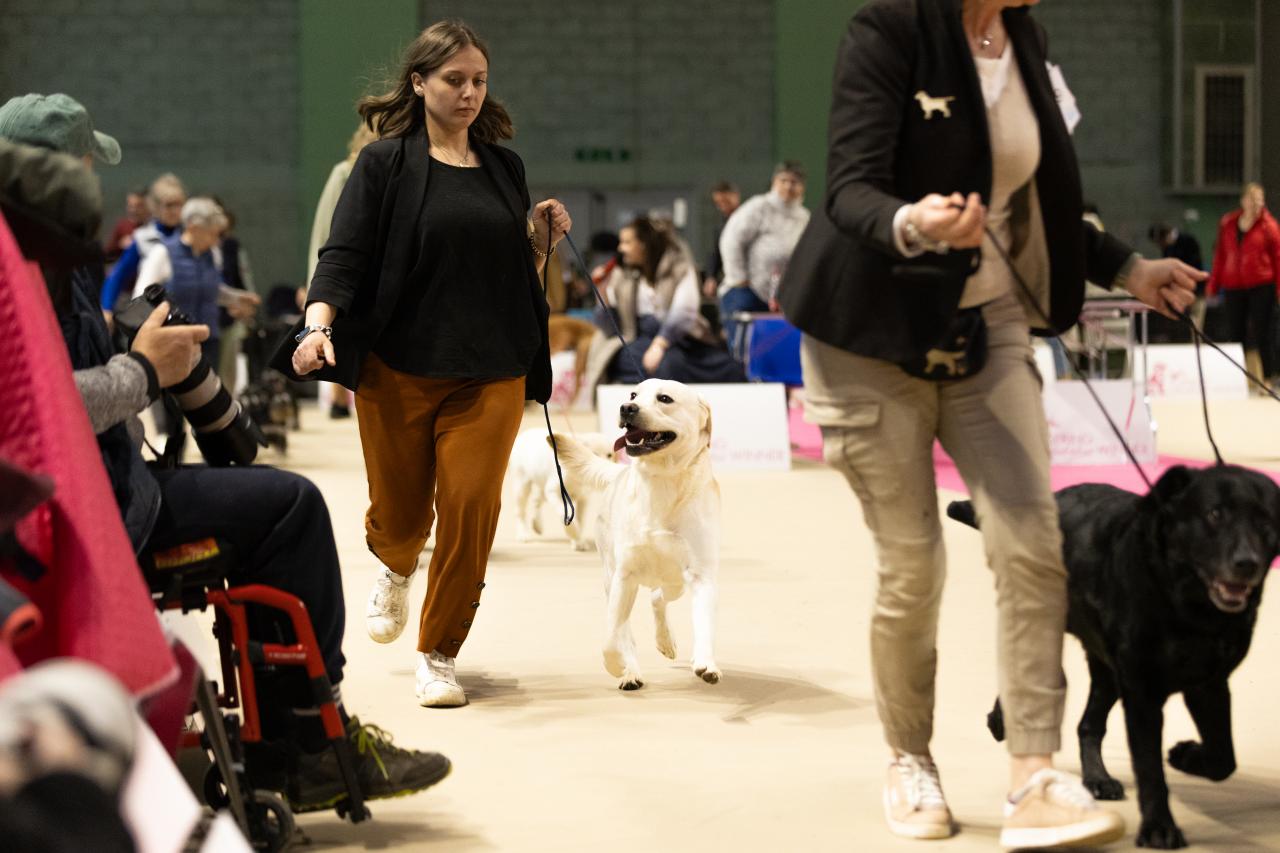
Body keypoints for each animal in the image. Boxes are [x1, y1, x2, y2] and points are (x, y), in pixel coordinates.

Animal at [551, 378, 721, 690]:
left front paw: (706, 664)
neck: (661, 481)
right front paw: (620, 666)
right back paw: (630, 671)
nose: (627, 407)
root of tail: (616, 473)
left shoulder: (701, 575)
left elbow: (704, 625)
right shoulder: (624, 576)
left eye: (665, 399)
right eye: (633, 394)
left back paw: (666, 642)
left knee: (657, 598)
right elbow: (611, 638)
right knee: (625, 626)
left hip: (675, 581)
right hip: (611, 574)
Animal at [948, 464, 1280, 849]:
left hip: (1107, 670)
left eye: (1266, 521)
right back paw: (1001, 721)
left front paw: (1186, 755)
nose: (1247, 563)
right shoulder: (1143, 691)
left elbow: (1223, 758)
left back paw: (1098, 778)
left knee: (1088, 725)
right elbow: (1150, 769)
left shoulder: (1208, 684)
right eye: (1214, 514)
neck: (1188, 610)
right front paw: (1159, 828)